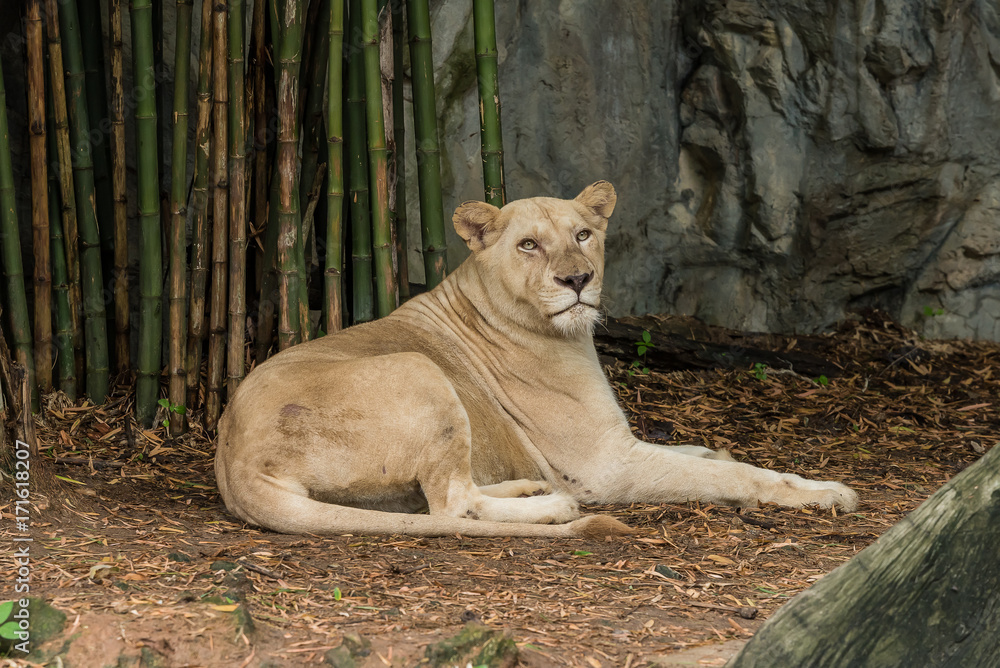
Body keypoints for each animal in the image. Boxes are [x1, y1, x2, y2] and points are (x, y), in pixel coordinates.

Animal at [215, 181, 857, 538]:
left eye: (583, 235)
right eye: (528, 245)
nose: (577, 280)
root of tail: (234, 461)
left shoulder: (621, 443)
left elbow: (699, 453)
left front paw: (720, 451)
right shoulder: (606, 466)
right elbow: (732, 473)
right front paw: (824, 492)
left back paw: (527, 488)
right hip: (417, 370)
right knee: (455, 505)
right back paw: (552, 505)